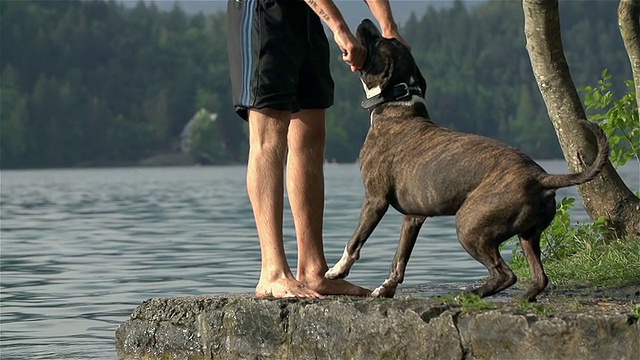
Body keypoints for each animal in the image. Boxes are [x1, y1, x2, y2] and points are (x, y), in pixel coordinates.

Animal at [324, 19, 608, 300]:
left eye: (377, 41)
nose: (366, 22)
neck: (399, 106)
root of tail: (541, 177)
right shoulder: (413, 218)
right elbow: (399, 260)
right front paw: (385, 289)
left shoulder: (375, 200)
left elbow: (354, 241)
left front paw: (337, 271)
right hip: (528, 235)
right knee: (539, 278)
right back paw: (521, 298)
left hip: (470, 227)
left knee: (505, 274)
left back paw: (471, 294)